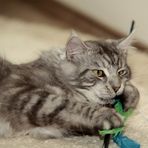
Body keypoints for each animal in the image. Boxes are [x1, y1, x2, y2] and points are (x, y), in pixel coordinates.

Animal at [0, 31, 139, 139]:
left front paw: (129, 96)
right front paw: (109, 115)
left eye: (121, 72)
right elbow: (70, 105)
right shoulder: (22, 93)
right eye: (99, 73)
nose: (116, 87)